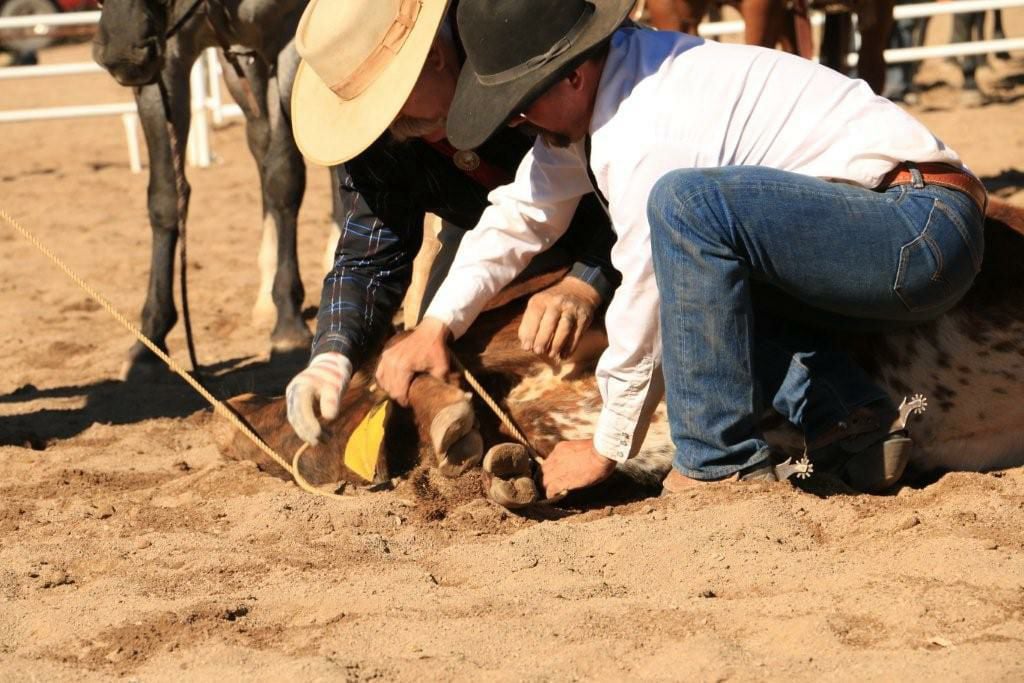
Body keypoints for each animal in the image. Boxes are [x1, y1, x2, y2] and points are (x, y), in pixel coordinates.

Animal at [90, 0, 344, 378]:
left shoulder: (290, 40)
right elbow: (165, 198)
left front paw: (288, 324)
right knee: (262, 143)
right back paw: (265, 295)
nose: (122, 51)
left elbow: (285, 179)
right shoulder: (167, 57)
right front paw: (150, 341)